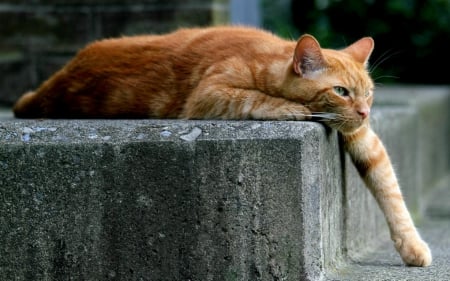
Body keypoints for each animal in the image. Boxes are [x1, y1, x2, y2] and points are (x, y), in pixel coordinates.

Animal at [12, 25, 430, 266]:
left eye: (369, 93)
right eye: (341, 91)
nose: (364, 112)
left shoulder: (363, 139)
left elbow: (390, 191)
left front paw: (412, 246)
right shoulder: (210, 94)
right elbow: (260, 100)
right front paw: (293, 108)